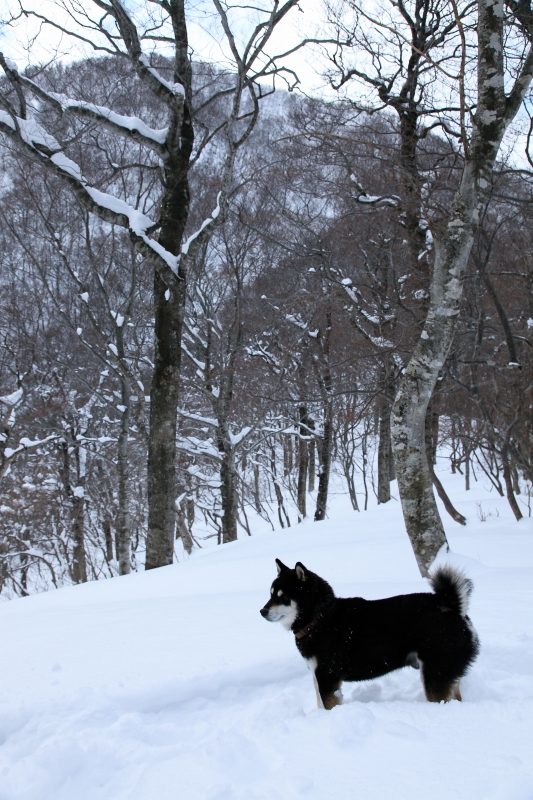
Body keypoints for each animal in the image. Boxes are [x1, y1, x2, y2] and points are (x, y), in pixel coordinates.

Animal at [260, 560, 480, 708]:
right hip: (449, 675)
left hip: (435, 676)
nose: (262, 611)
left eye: (283, 597)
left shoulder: (327, 678)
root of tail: (452, 607)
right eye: (270, 594)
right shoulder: (317, 676)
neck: (319, 618)